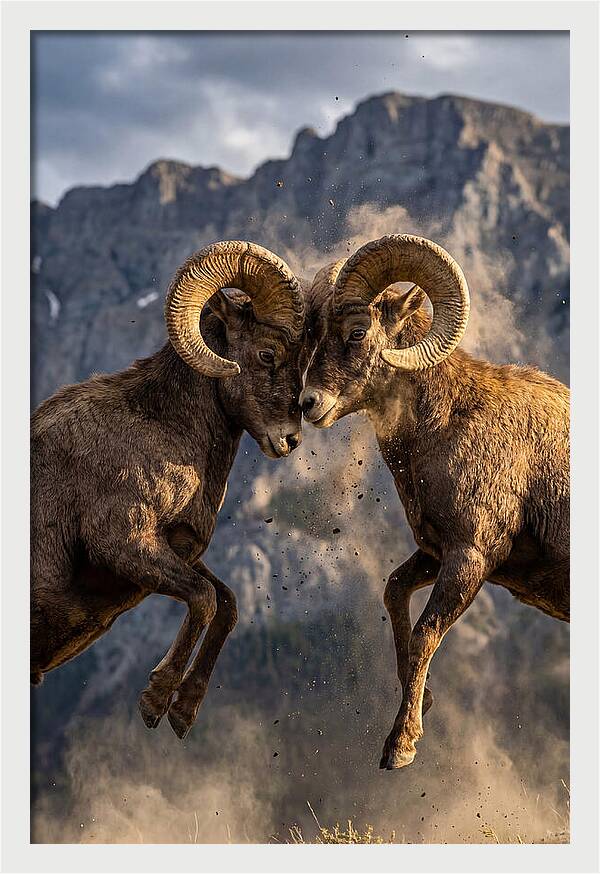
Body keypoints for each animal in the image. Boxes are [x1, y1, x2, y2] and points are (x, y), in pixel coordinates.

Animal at [31, 240, 308, 739]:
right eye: (266, 354)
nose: (290, 439)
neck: (162, 427)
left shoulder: (176, 551)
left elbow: (227, 603)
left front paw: (183, 712)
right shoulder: (124, 544)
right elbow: (203, 599)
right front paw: (156, 700)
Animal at [301, 234, 569, 769]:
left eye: (357, 331)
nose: (308, 404)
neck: (447, 424)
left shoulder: (470, 557)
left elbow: (426, 633)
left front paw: (400, 747)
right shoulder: (434, 552)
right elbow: (394, 592)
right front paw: (422, 701)